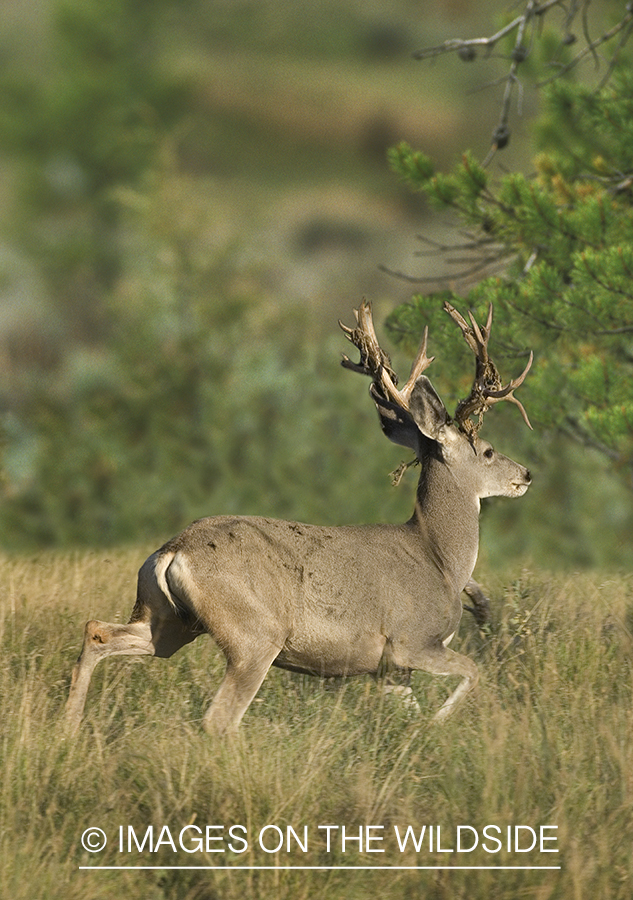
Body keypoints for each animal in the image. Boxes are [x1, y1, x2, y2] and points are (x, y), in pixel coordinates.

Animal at [64, 298, 532, 736]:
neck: (441, 560)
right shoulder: (411, 641)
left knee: (98, 631)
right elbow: (475, 671)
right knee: (219, 719)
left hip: (170, 622)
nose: (526, 474)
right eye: (488, 451)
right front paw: (441, 722)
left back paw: (69, 726)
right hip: (254, 635)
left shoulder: (389, 670)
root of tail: (172, 552)